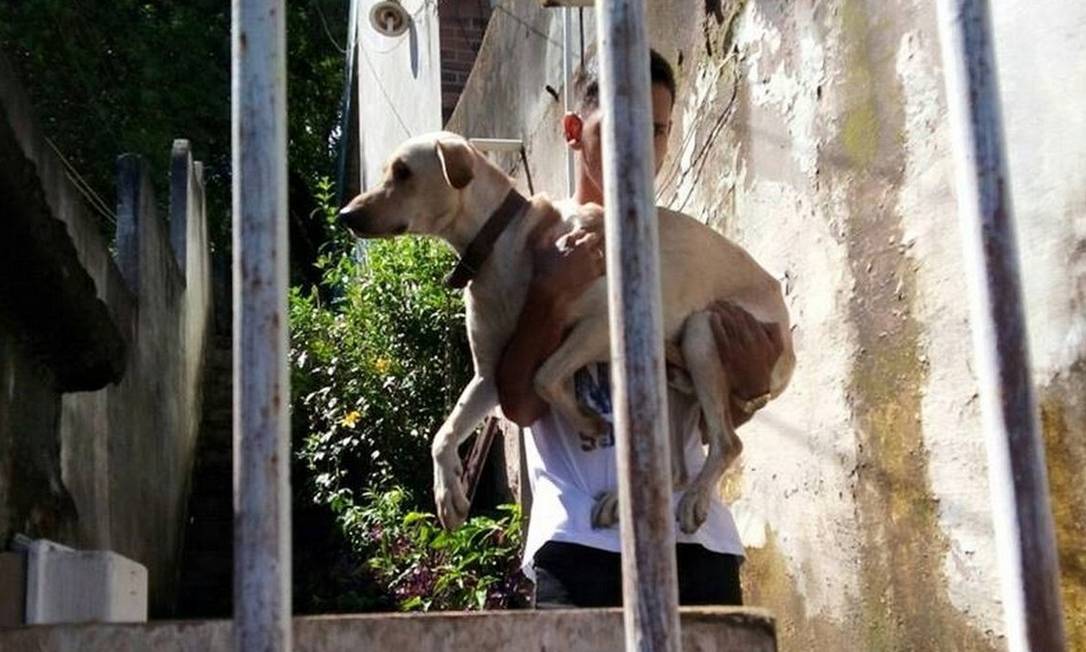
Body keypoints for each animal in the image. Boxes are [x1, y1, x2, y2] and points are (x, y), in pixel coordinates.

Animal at [341, 129, 799, 532]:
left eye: (403, 171)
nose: (345, 215)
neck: (507, 241)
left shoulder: (600, 326)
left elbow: (544, 376)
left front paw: (587, 422)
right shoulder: (490, 376)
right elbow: (443, 433)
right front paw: (447, 494)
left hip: (703, 332)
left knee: (727, 443)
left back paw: (693, 500)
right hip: (671, 378)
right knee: (676, 468)